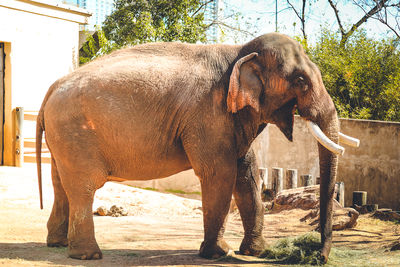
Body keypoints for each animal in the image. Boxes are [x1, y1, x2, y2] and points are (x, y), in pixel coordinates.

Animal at [36, 33, 358, 264]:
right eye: (301, 81)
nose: (318, 257)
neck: (239, 52)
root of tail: (50, 90)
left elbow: (247, 173)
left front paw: (257, 253)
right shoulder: (208, 114)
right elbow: (220, 174)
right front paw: (218, 253)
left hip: (61, 137)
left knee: (60, 183)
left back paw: (58, 244)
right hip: (75, 133)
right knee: (84, 186)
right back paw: (88, 255)